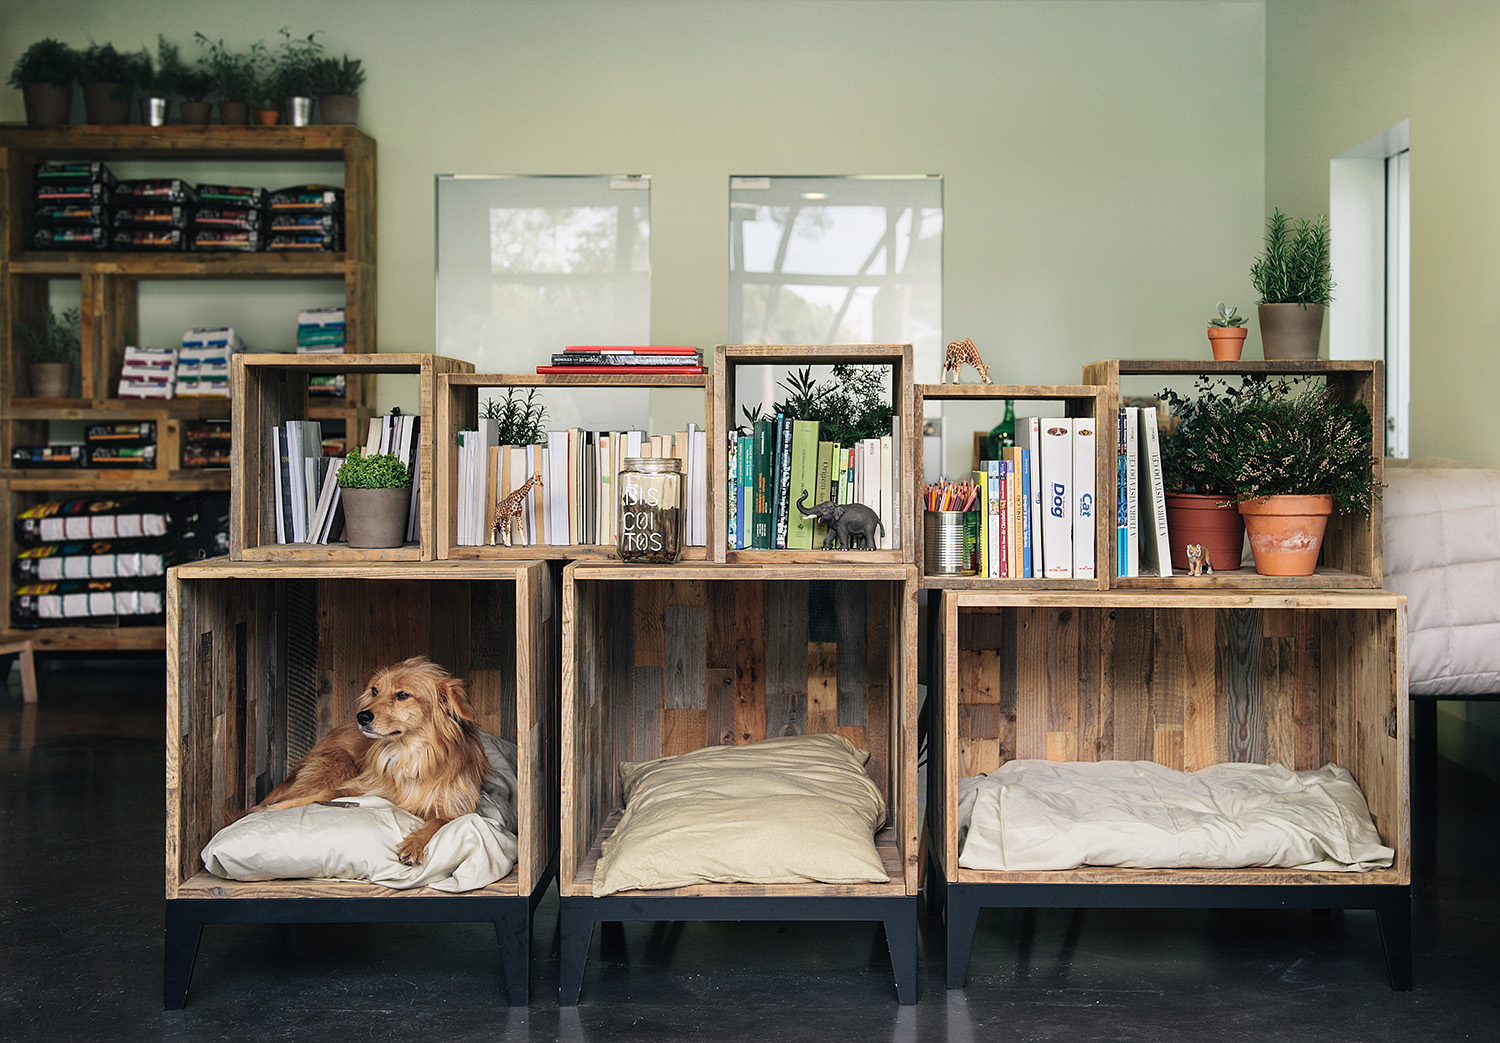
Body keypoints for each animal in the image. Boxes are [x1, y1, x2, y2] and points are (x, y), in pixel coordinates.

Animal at [249, 657, 489, 870]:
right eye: (375, 690)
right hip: (338, 762)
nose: (361, 717)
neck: (408, 755)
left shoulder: (457, 808)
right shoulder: (364, 787)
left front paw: (414, 844)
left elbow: (438, 822)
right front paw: (273, 809)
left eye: (402, 695)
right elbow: (322, 795)